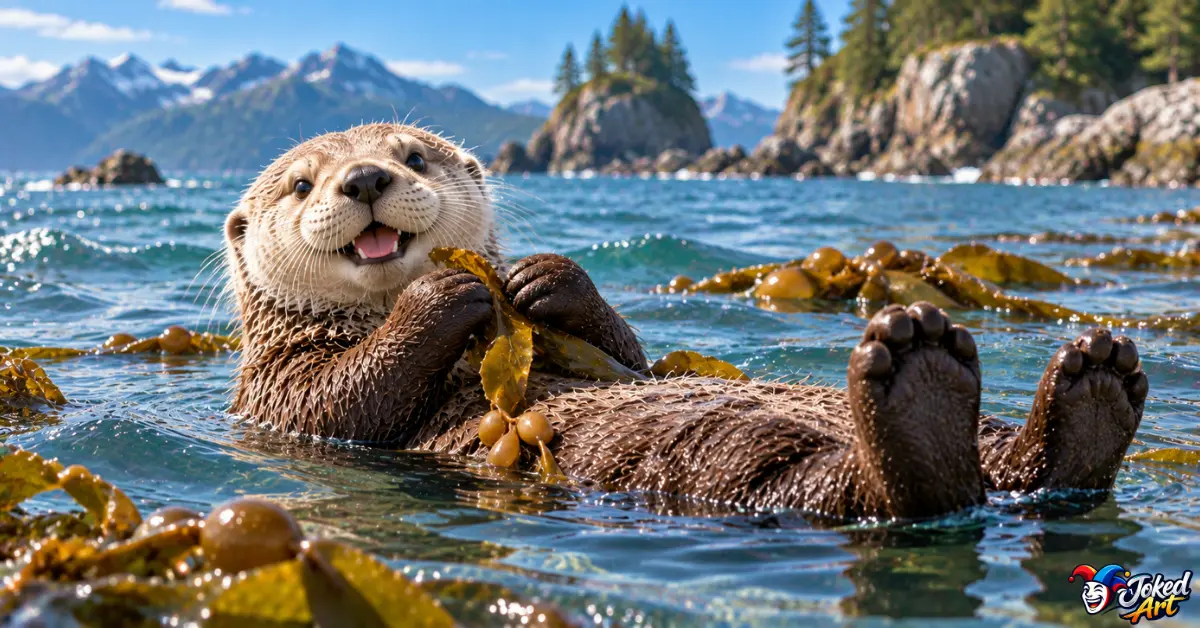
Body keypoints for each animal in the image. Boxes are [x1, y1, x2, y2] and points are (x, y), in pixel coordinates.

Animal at [223, 123, 1148, 521]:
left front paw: (541, 279)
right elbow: (345, 397)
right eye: (303, 185)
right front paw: (444, 294)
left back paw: (1089, 387)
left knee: (1011, 462)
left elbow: (637, 356)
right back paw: (921, 393)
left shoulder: (627, 352)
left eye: (413, 157)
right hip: (736, 467)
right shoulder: (275, 388)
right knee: (877, 493)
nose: (365, 179)